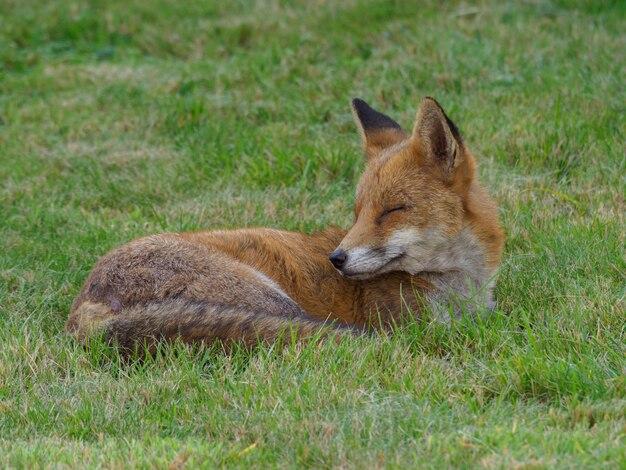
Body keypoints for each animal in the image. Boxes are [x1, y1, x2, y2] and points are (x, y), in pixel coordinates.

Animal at [64, 96, 502, 352]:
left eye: (392, 210)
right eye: (358, 211)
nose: (336, 259)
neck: (460, 288)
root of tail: (84, 307)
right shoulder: (419, 324)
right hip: (271, 300)